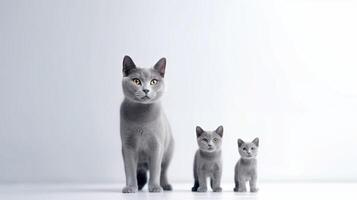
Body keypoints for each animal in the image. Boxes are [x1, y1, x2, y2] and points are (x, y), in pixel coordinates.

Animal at [119, 55, 173, 193]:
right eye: (136, 81)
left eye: (153, 81)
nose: (146, 90)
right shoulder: (128, 146)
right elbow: (130, 170)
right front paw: (130, 187)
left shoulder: (157, 146)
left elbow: (155, 170)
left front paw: (155, 187)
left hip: (168, 152)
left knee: (163, 171)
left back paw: (165, 185)